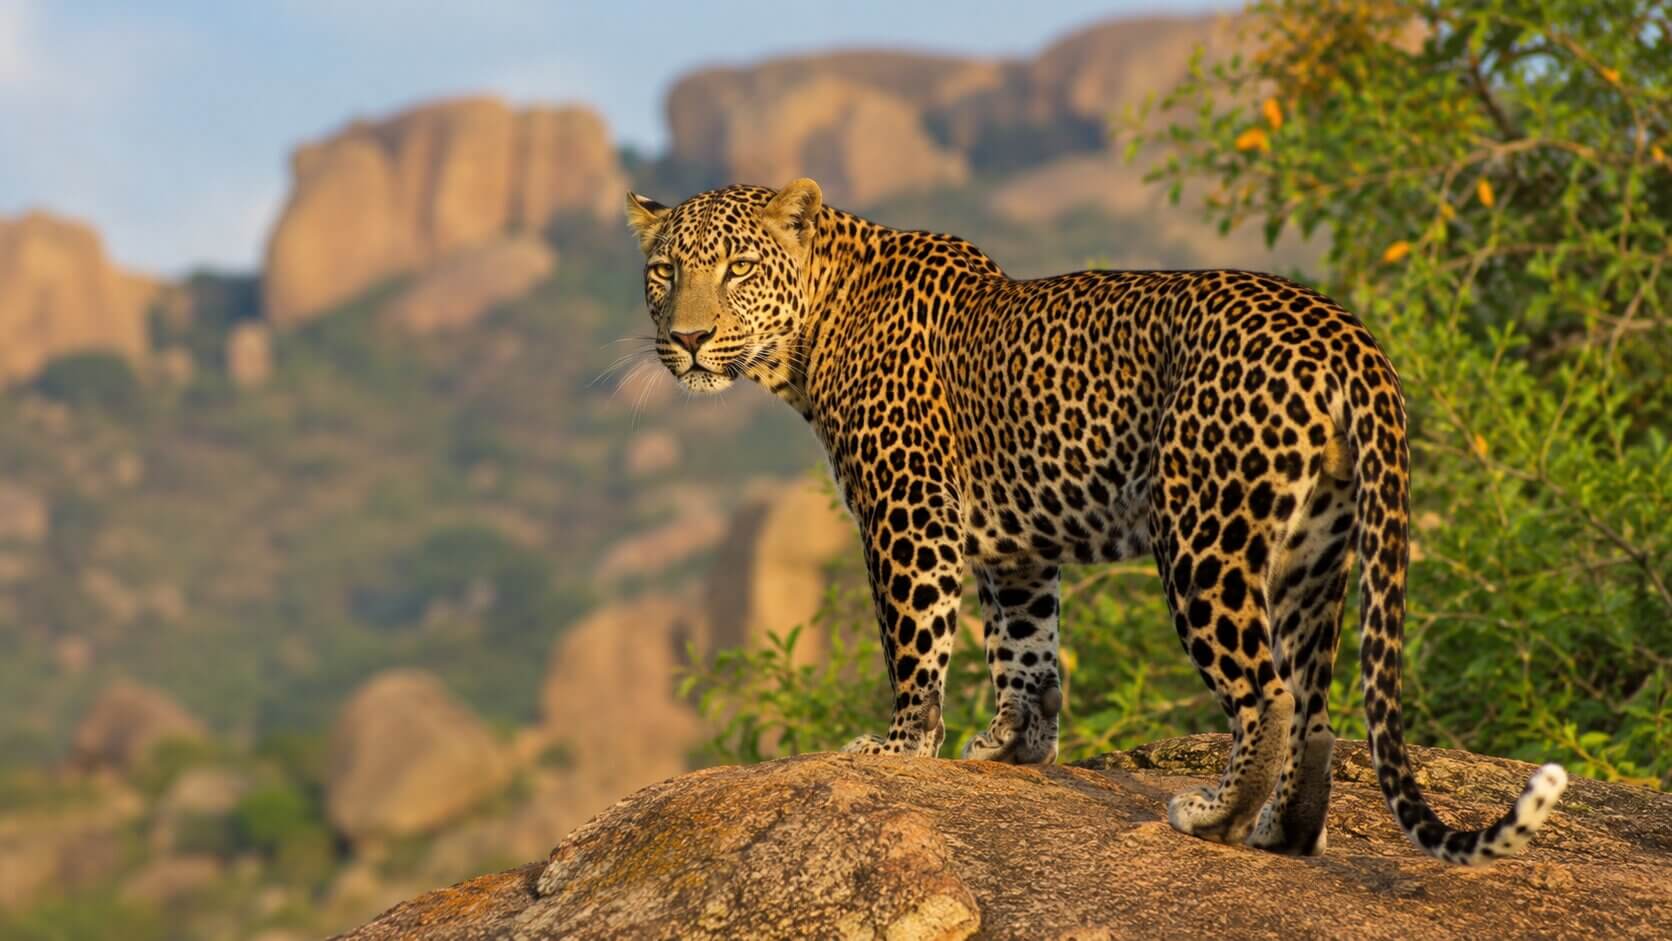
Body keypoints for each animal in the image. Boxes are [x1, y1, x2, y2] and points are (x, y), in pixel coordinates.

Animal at [622, 177, 1567, 864]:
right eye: (665, 272)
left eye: (738, 268)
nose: (690, 338)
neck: (814, 326)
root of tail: (1346, 333)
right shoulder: (1015, 546)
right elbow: (1026, 648)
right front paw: (1012, 746)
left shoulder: (907, 509)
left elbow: (915, 640)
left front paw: (898, 748)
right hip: (1314, 548)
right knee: (1315, 705)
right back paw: (1284, 833)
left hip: (1202, 535)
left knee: (1265, 692)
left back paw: (1216, 818)